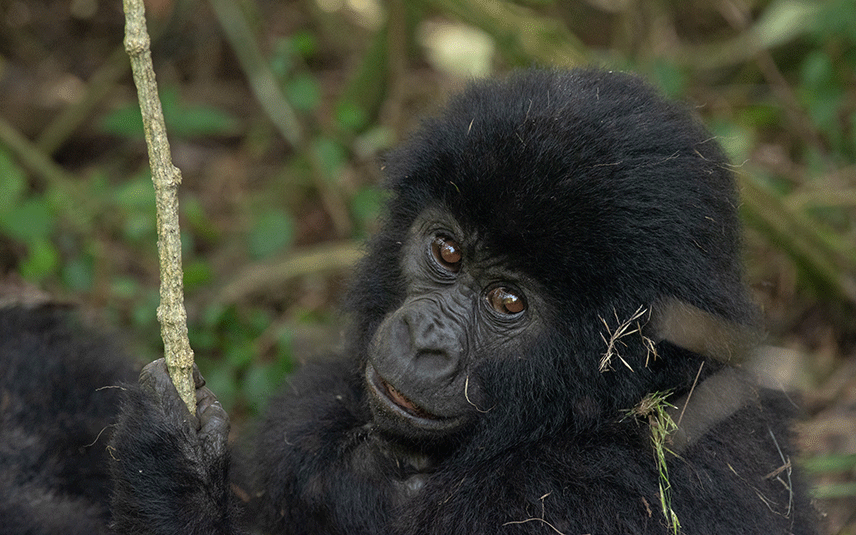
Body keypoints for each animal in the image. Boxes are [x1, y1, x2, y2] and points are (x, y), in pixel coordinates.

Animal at [0, 69, 816, 532]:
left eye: (509, 303)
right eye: (446, 251)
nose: (425, 338)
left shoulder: (592, 498)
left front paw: (167, 471)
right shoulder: (313, 415)